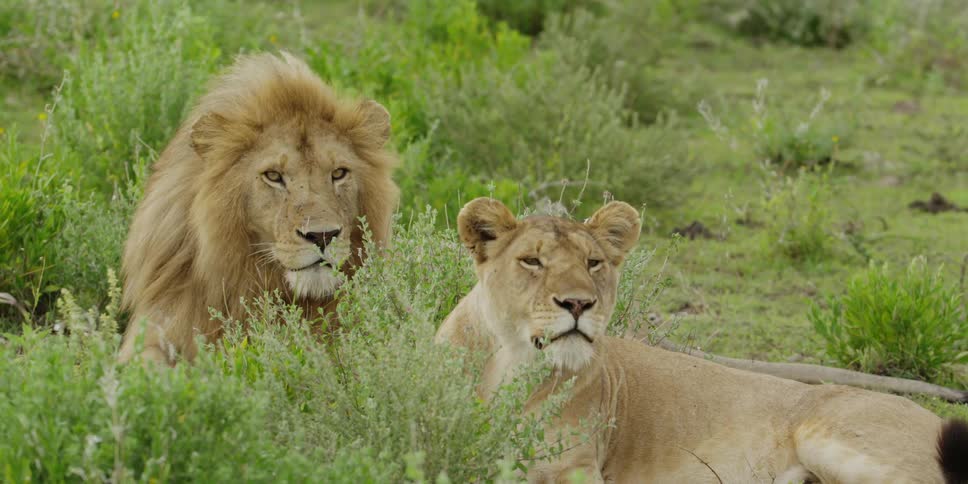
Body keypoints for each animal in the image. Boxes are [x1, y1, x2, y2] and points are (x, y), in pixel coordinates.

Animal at [436, 197, 968, 484]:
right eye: (532, 261)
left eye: (593, 263)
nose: (578, 304)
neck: (511, 365)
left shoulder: (581, 467)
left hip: (834, 437)